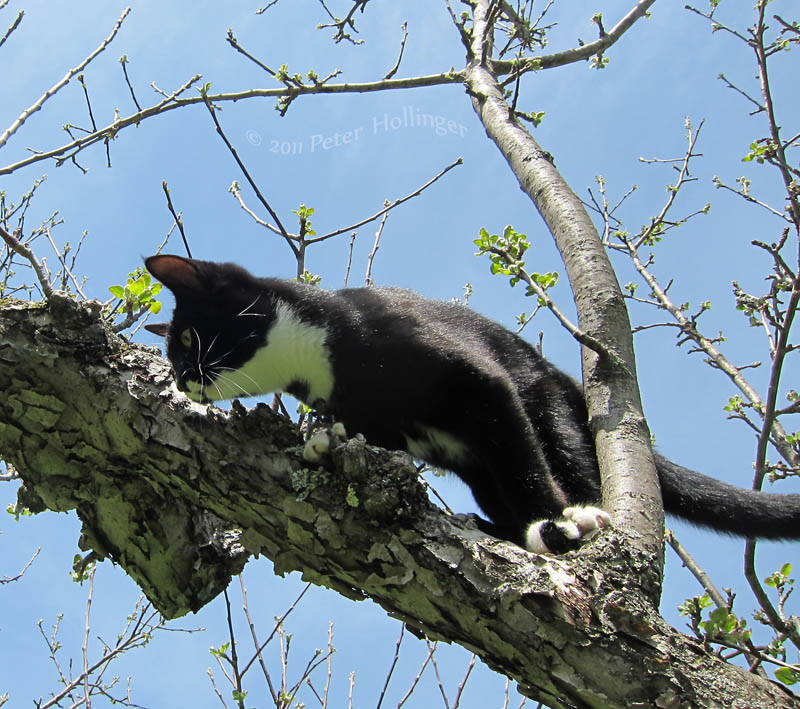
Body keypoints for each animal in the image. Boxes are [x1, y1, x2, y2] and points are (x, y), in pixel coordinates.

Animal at [144, 254, 800, 552]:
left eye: (186, 340)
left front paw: (555, 519)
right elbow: (361, 438)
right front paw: (324, 442)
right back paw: (492, 526)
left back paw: (576, 514)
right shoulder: (374, 419)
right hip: (480, 472)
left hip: (548, 402)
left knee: (562, 455)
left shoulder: (477, 379)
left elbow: (525, 462)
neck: (319, 362)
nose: (178, 378)